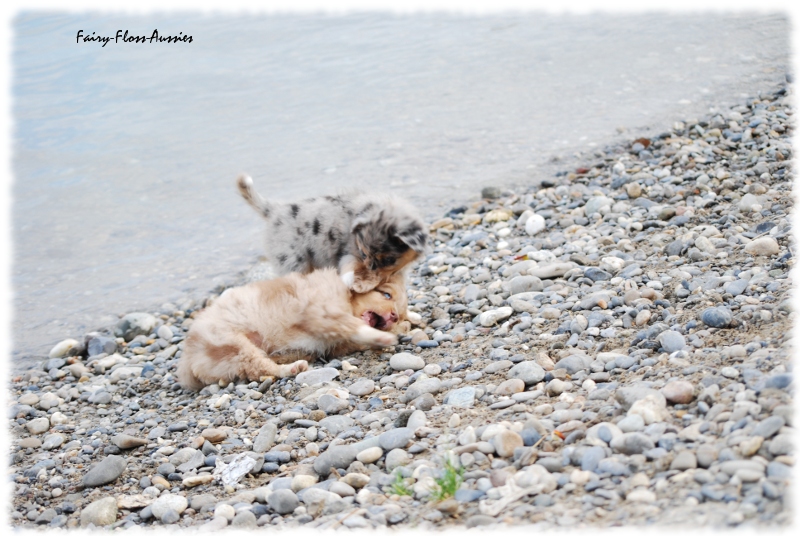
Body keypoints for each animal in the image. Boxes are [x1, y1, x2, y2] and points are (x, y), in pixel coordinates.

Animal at [236, 175, 428, 294]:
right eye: (363, 253)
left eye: (388, 259)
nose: (369, 270)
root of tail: (276, 210)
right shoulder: (348, 252)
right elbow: (348, 265)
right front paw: (349, 280)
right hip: (293, 261)